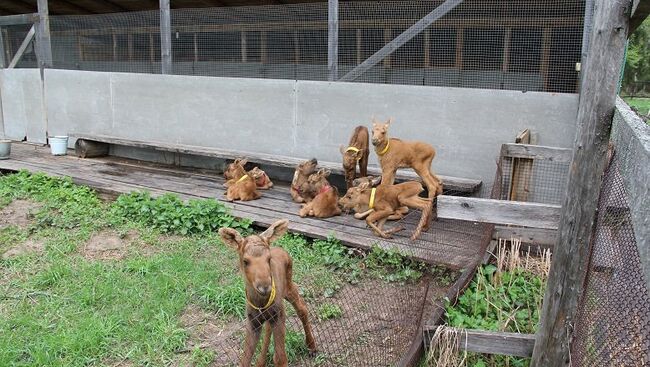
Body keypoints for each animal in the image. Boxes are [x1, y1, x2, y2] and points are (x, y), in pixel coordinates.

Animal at [219, 220, 318, 366]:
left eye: (269, 258)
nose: (265, 287)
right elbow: (245, 359)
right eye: (245, 261)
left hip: (288, 287)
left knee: (302, 308)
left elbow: (281, 358)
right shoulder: (253, 320)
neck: (260, 303)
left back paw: (311, 346)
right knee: (268, 328)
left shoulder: (279, 314)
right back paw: (261, 361)